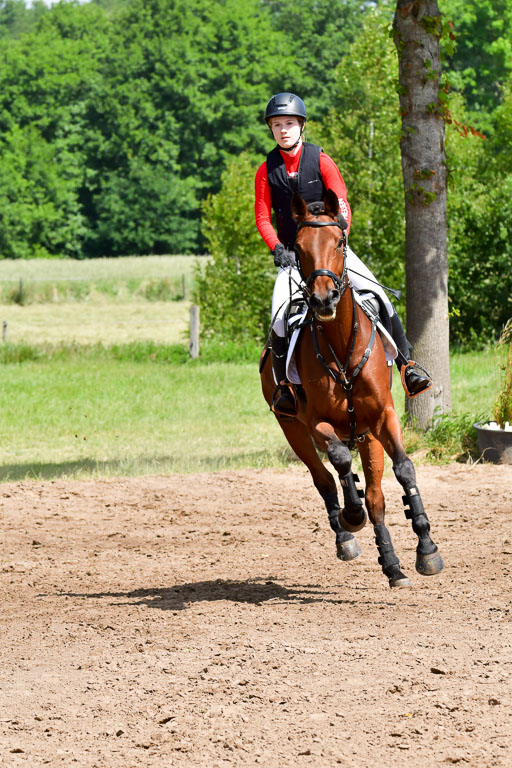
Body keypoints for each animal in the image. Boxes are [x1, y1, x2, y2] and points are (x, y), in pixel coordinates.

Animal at [260, 188, 444, 588]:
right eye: (298, 248)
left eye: (339, 241)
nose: (323, 299)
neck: (341, 344)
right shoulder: (316, 423)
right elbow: (341, 463)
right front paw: (351, 513)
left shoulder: (384, 416)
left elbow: (404, 469)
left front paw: (426, 548)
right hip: (292, 428)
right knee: (326, 477)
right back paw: (347, 532)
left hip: (367, 434)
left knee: (376, 496)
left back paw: (393, 565)